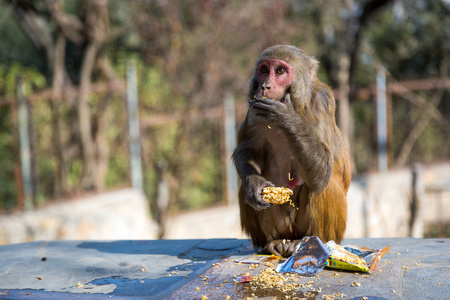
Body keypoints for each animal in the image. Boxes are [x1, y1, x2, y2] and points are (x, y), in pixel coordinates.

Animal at [232, 45, 352, 256]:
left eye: (280, 71)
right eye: (264, 70)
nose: (265, 86)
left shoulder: (320, 103)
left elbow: (323, 173)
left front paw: (286, 116)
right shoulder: (254, 109)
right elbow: (246, 149)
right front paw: (255, 185)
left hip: (323, 232)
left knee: (324, 186)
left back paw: (312, 241)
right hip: (283, 227)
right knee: (244, 190)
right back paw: (273, 242)